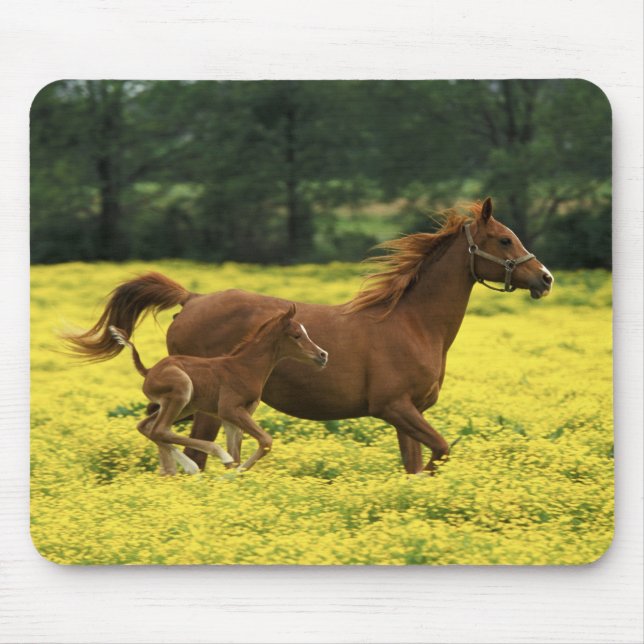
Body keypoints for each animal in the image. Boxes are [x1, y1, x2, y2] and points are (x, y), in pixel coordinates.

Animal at [107, 304, 328, 475]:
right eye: (297, 335)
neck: (246, 367)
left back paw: (187, 467)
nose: (323, 355)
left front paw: (231, 477)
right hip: (181, 391)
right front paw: (232, 473)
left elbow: (238, 452)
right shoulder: (228, 409)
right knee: (159, 429)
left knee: (148, 427)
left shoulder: (234, 416)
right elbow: (265, 441)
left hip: (185, 406)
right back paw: (207, 459)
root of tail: (149, 371)